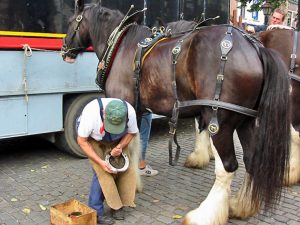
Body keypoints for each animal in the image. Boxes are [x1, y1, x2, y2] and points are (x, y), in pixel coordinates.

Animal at [61, 1, 290, 223]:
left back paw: (203, 215)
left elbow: (123, 149)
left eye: (72, 21)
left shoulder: (122, 105)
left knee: (227, 168)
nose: (64, 50)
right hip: (246, 122)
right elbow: (135, 146)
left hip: (219, 122)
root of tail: (255, 47)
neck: (120, 45)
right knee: (251, 161)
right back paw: (242, 207)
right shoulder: (137, 111)